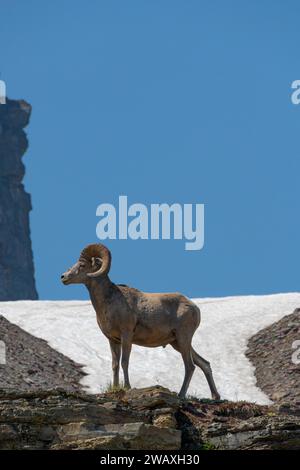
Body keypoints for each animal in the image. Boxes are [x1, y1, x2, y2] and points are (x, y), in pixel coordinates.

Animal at [61, 244, 220, 398]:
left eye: (82, 265)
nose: (63, 277)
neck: (109, 301)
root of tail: (194, 307)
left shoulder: (126, 336)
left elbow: (124, 362)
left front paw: (127, 387)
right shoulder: (113, 340)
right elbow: (115, 364)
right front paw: (115, 387)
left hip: (183, 338)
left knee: (190, 366)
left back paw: (181, 395)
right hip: (177, 343)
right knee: (204, 364)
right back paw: (215, 396)